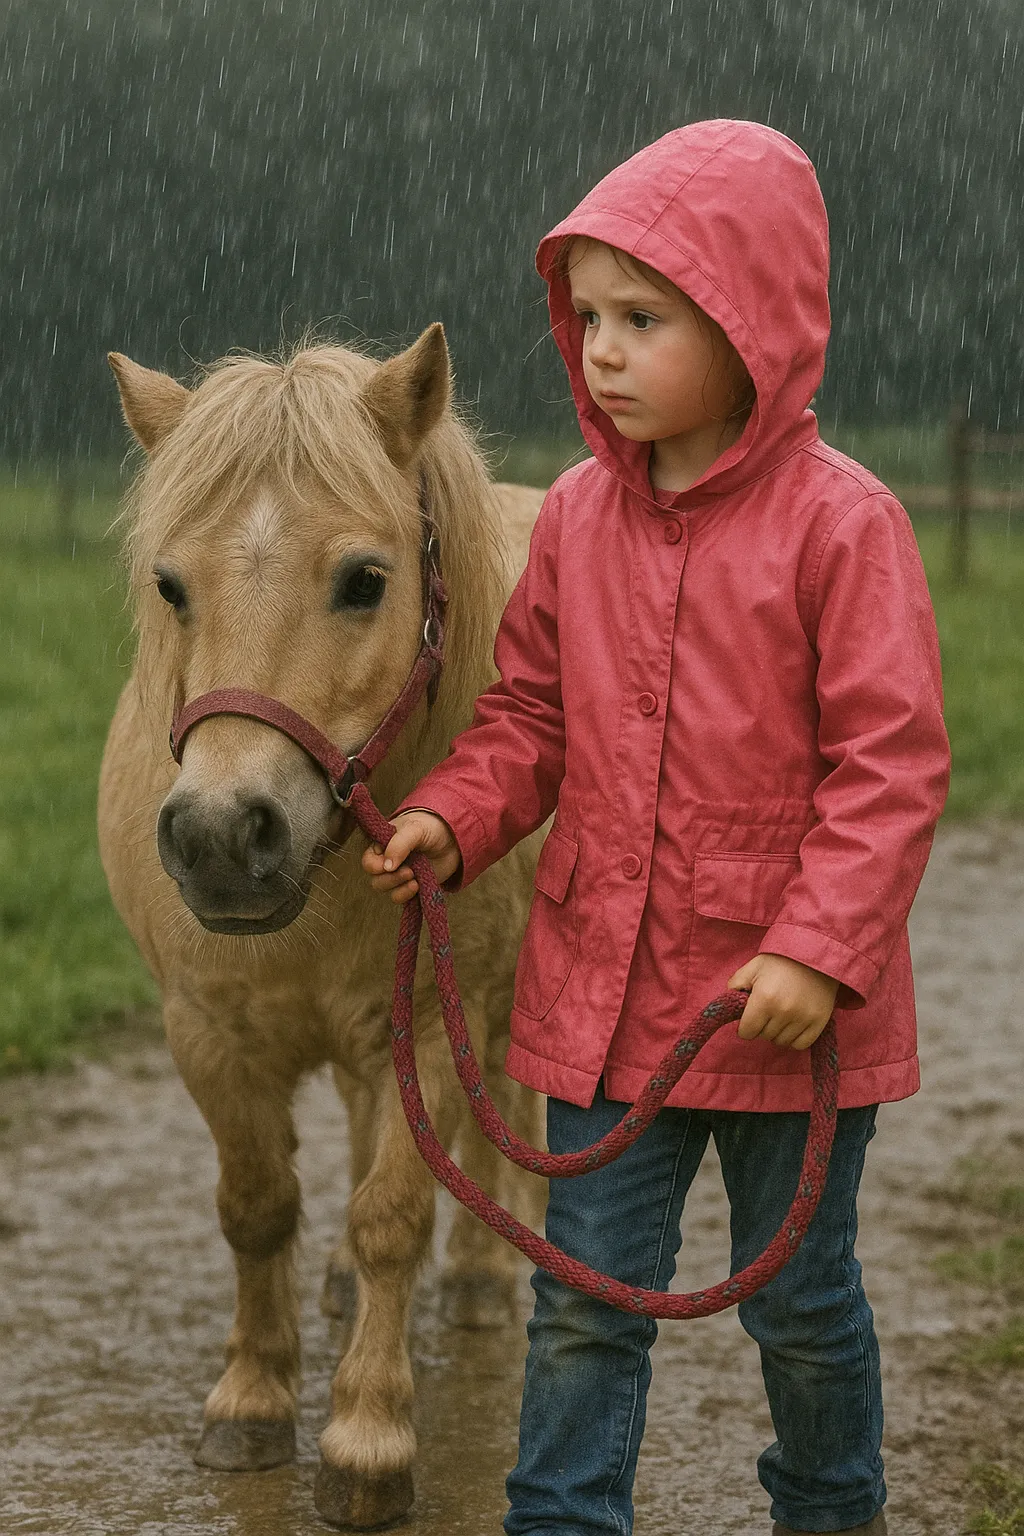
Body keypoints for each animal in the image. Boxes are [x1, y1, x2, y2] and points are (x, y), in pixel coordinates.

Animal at [98, 325, 547, 1529]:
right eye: (170, 584)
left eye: (363, 581)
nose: (219, 833)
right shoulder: (208, 1031)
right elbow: (258, 1207)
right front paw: (251, 1403)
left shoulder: (428, 1030)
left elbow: (395, 1210)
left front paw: (366, 1441)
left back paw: (484, 1279)